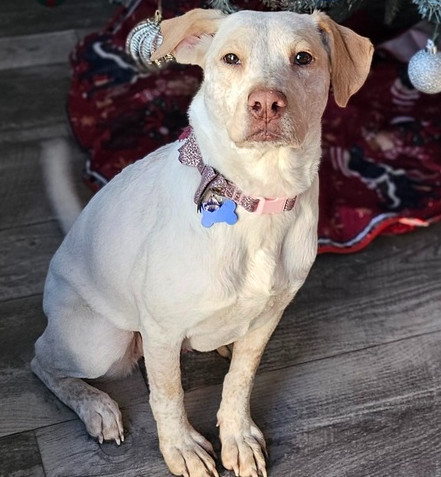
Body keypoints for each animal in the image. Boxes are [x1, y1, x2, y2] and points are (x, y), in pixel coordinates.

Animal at [32, 8, 372, 476]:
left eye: (303, 58)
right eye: (231, 58)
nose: (267, 103)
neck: (257, 197)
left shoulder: (269, 317)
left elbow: (241, 378)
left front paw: (238, 436)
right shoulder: (160, 329)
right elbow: (168, 394)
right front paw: (181, 447)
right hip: (99, 341)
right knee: (41, 360)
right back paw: (96, 406)